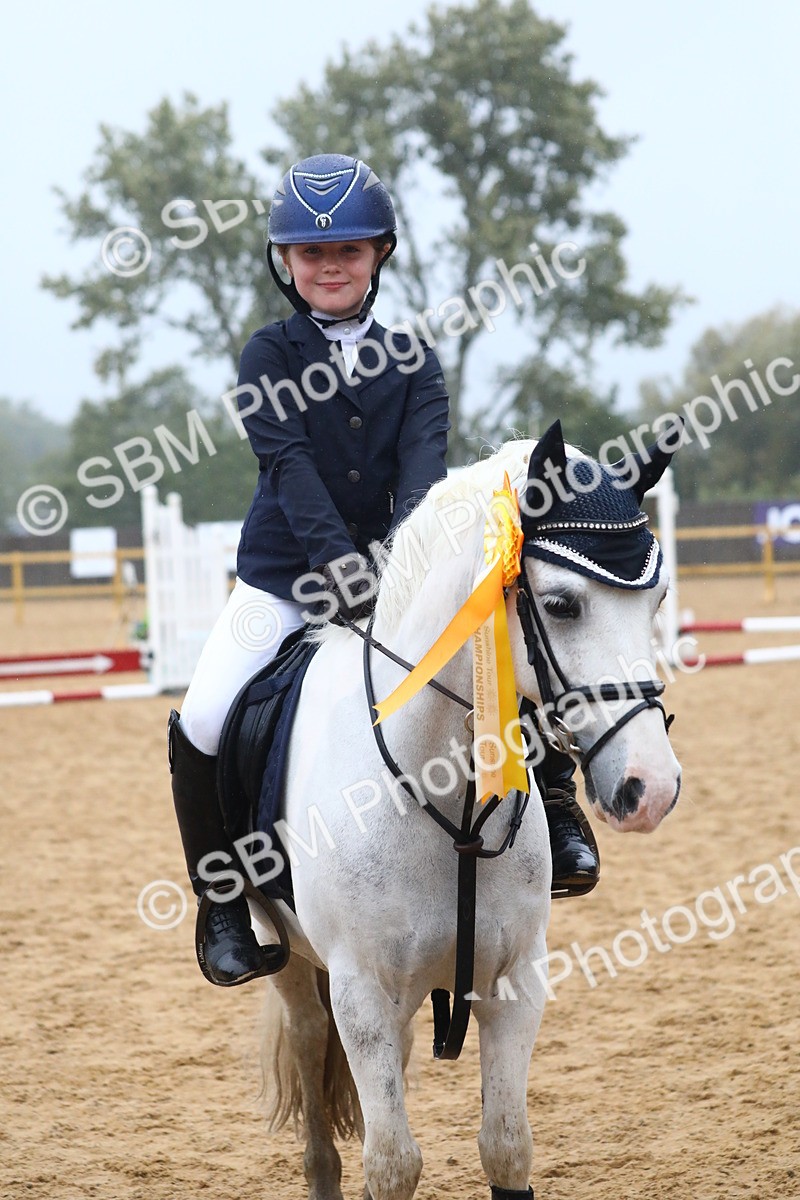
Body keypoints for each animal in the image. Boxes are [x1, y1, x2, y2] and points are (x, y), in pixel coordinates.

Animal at [252, 422, 682, 1200]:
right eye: (563, 604)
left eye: (658, 600)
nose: (652, 785)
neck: (444, 796)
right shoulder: (361, 994)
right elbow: (392, 1164)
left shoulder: (514, 981)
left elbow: (506, 1146)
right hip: (296, 968)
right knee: (310, 1062)